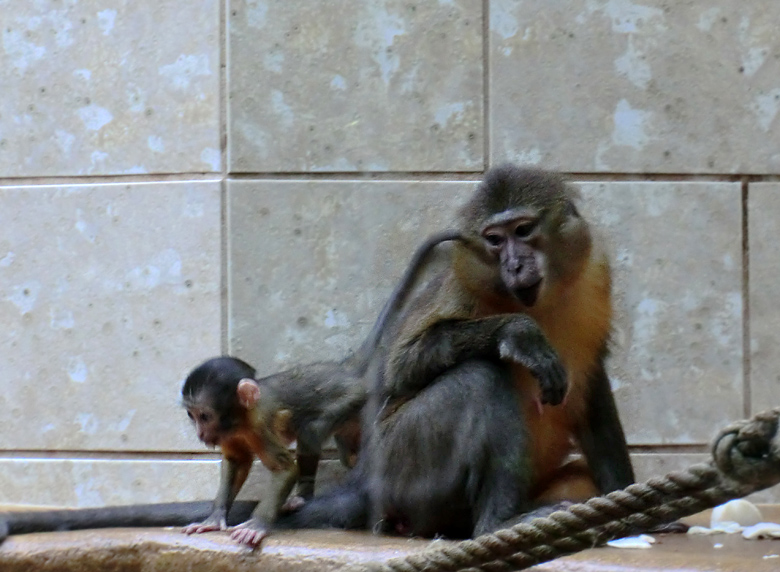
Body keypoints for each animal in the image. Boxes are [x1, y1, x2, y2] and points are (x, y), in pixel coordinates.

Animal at [0, 227, 464, 544]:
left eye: (204, 414)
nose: (201, 433)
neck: (238, 420)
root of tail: (343, 369)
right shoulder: (235, 437)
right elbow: (235, 463)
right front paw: (213, 516)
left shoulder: (256, 424)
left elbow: (284, 467)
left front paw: (258, 522)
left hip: (351, 399)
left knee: (313, 429)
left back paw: (302, 495)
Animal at [278, 164, 632, 536]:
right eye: (495, 240)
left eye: (523, 231)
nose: (514, 265)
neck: (541, 302)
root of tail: (363, 481)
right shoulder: (462, 284)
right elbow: (400, 370)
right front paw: (518, 333)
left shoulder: (595, 275)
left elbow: (593, 386)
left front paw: (621, 498)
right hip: (401, 462)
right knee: (480, 376)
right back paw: (495, 524)